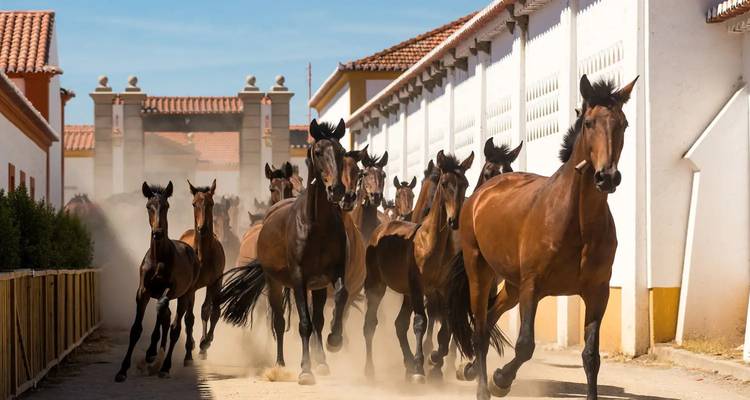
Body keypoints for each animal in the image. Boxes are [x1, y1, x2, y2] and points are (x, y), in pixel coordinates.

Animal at [115, 182, 200, 382]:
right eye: (149, 206)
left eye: (166, 206)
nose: (158, 233)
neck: (158, 259)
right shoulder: (143, 292)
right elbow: (136, 329)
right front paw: (123, 370)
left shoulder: (170, 290)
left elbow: (164, 312)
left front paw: (154, 356)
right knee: (166, 317)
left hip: (187, 294)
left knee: (176, 325)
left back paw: (166, 365)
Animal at [179, 179, 227, 360]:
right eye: (194, 204)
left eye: (211, 203)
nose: (202, 228)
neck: (203, 256)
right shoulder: (191, 288)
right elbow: (189, 317)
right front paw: (191, 347)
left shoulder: (215, 283)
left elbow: (210, 311)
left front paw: (204, 343)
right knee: (185, 312)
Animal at [219, 119, 353, 385]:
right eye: (318, 152)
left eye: (342, 151)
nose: (337, 189)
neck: (316, 225)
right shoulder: (299, 278)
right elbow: (303, 323)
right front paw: (305, 370)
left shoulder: (333, 273)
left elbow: (340, 298)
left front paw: (334, 341)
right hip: (275, 283)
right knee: (279, 322)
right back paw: (280, 364)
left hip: (316, 286)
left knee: (318, 321)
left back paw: (322, 361)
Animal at [362, 150, 474, 382]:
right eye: (444, 183)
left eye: (466, 184)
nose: (454, 220)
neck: (431, 243)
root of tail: (380, 228)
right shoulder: (418, 287)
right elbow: (421, 322)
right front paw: (420, 367)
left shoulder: (442, 290)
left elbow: (445, 328)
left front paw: (434, 360)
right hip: (377, 286)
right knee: (370, 324)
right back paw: (371, 370)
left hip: (406, 293)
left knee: (399, 324)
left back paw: (408, 364)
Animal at [448, 75, 638, 400]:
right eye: (589, 123)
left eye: (623, 124)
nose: (607, 177)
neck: (578, 222)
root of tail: (479, 197)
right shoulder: (533, 286)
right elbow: (525, 346)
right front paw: (501, 379)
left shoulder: (598, 292)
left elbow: (591, 356)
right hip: (481, 272)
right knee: (480, 329)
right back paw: (483, 386)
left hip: (512, 285)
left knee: (490, 318)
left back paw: (471, 370)